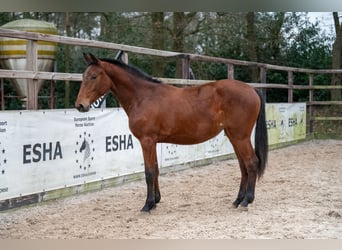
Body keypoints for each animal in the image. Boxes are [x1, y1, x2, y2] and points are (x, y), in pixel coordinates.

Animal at [75, 53, 268, 212]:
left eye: (93, 76)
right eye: (83, 76)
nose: (80, 105)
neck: (143, 97)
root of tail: (252, 89)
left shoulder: (146, 141)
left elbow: (149, 172)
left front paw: (147, 205)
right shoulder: (152, 142)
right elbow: (156, 170)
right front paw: (155, 201)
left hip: (240, 137)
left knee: (251, 163)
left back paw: (246, 201)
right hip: (234, 137)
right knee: (243, 166)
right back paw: (238, 200)